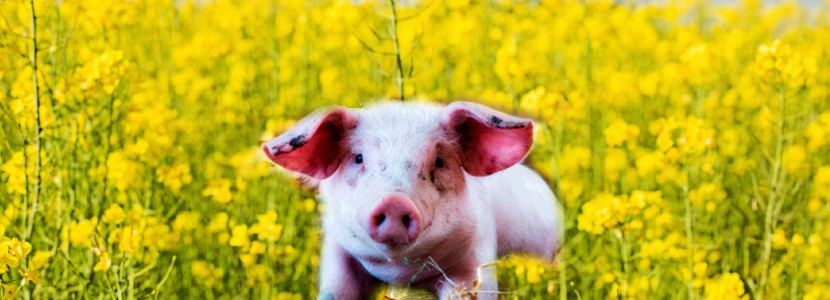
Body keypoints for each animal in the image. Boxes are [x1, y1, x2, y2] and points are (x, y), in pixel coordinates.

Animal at [262, 102, 564, 298]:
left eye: (439, 161)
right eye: (358, 158)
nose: (394, 202)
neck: (401, 274)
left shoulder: (475, 256)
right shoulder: (338, 252)